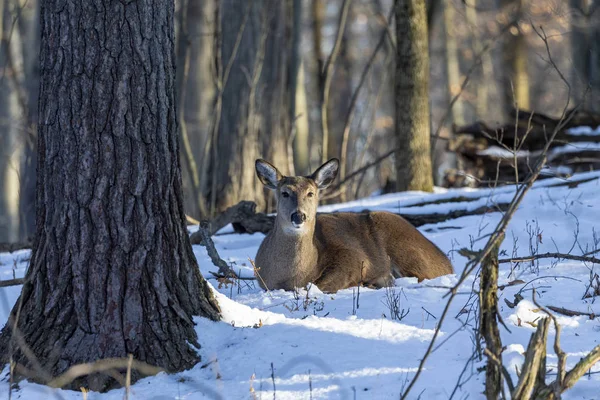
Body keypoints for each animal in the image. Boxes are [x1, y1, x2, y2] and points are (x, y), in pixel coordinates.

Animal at [253, 158, 454, 292]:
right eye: (285, 193)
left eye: (311, 193)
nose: (298, 216)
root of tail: (447, 263)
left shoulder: (352, 256)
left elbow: (322, 284)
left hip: (405, 247)